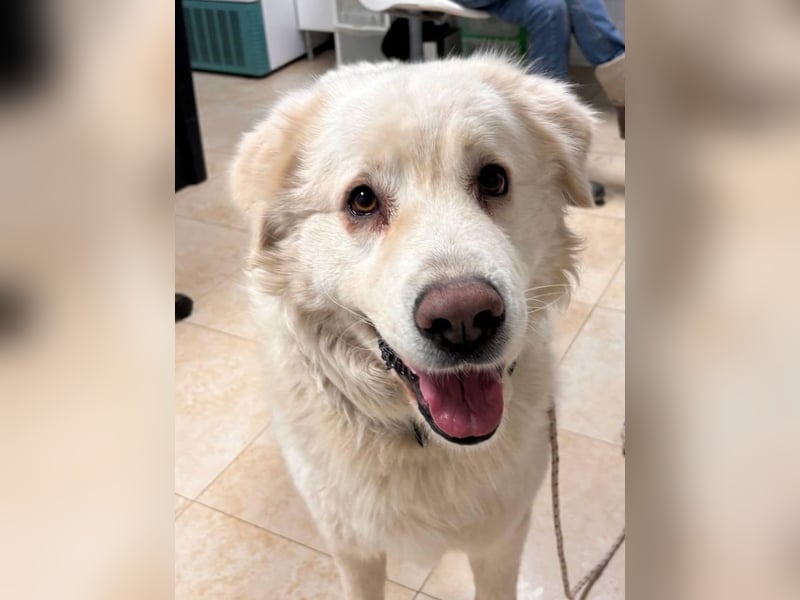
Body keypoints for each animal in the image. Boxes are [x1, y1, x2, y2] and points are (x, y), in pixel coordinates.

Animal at [230, 55, 594, 599]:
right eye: (362, 200)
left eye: (493, 180)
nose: (463, 319)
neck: (421, 438)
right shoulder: (352, 549)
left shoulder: (503, 539)